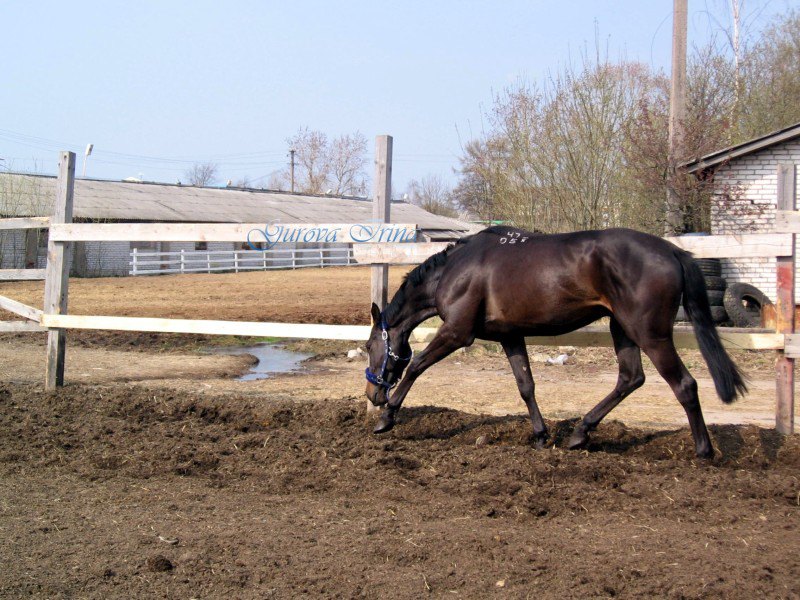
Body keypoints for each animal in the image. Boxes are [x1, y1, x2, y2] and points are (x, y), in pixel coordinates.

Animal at [366, 227, 748, 458]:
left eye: (370, 347)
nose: (372, 394)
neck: (456, 270)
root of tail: (673, 251)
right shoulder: (510, 335)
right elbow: (526, 385)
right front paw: (539, 435)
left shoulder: (457, 332)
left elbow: (416, 366)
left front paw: (387, 418)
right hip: (622, 328)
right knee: (630, 378)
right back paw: (580, 433)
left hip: (650, 333)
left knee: (683, 384)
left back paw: (703, 451)